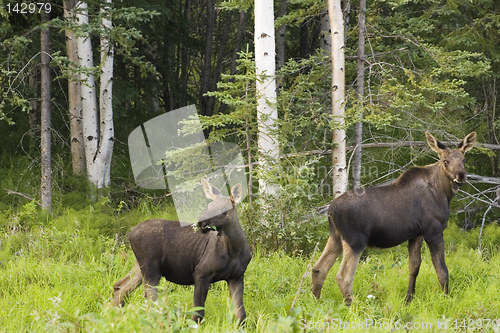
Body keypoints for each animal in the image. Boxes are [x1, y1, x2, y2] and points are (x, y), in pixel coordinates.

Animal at [114, 178, 252, 322]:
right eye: (209, 206)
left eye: (224, 209)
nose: (201, 221)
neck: (234, 251)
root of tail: (129, 235)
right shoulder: (201, 273)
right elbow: (197, 313)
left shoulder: (236, 276)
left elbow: (240, 314)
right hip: (150, 268)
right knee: (149, 299)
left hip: (140, 266)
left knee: (120, 287)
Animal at [312, 131, 476, 304]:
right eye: (445, 161)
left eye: (464, 160)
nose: (461, 175)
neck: (444, 193)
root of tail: (330, 210)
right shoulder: (433, 231)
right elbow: (442, 270)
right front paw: (446, 299)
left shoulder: (416, 234)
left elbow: (414, 267)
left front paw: (408, 299)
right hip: (355, 240)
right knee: (344, 276)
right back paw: (352, 306)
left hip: (336, 237)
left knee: (318, 268)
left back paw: (316, 301)